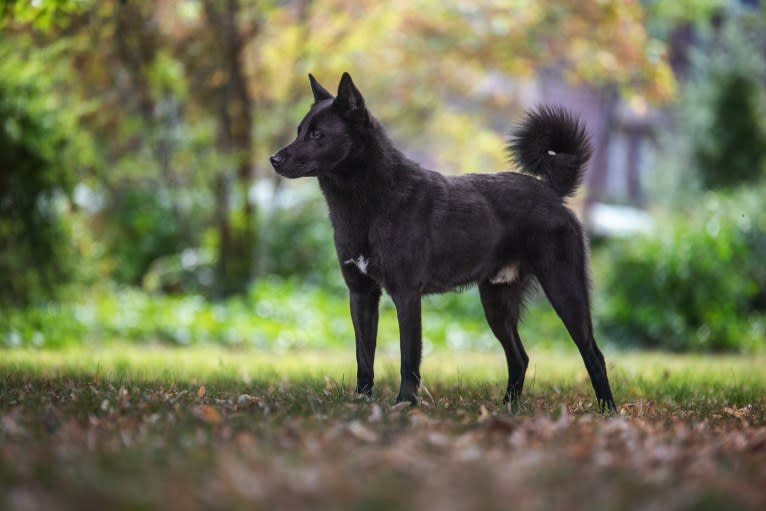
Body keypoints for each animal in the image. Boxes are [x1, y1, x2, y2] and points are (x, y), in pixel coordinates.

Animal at [270, 73, 616, 412]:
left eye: (317, 134)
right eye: (300, 130)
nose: (274, 159)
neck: (371, 200)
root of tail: (550, 191)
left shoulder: (407, 295)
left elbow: (408, 359)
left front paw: (404, 405)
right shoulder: (362, 294)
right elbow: (363, 357)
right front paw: (361, 403)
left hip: (564, 290)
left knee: (593, 354)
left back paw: (607, 411)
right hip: (496, 302)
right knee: (520, 358)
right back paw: (507, 409)